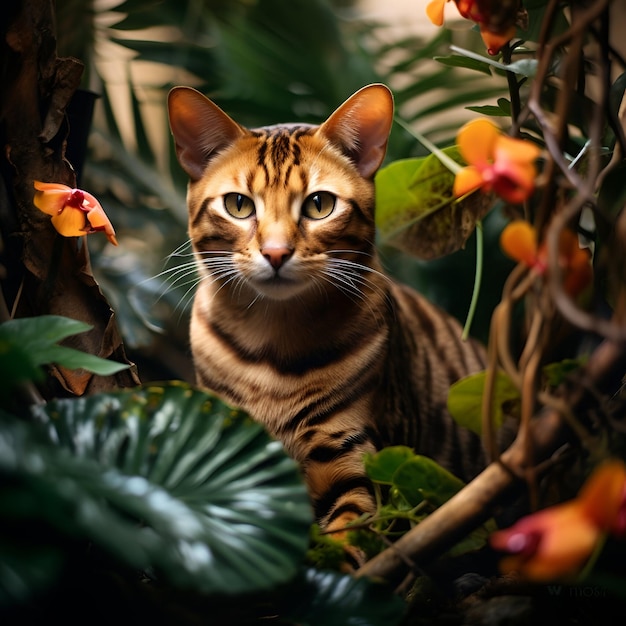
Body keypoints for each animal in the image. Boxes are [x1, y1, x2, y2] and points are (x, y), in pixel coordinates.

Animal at [167, 83, 488, 540]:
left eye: (319, 205)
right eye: (238, 205)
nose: (276, 253)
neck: (273, 339)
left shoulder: (357, 459)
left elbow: (349, 539)